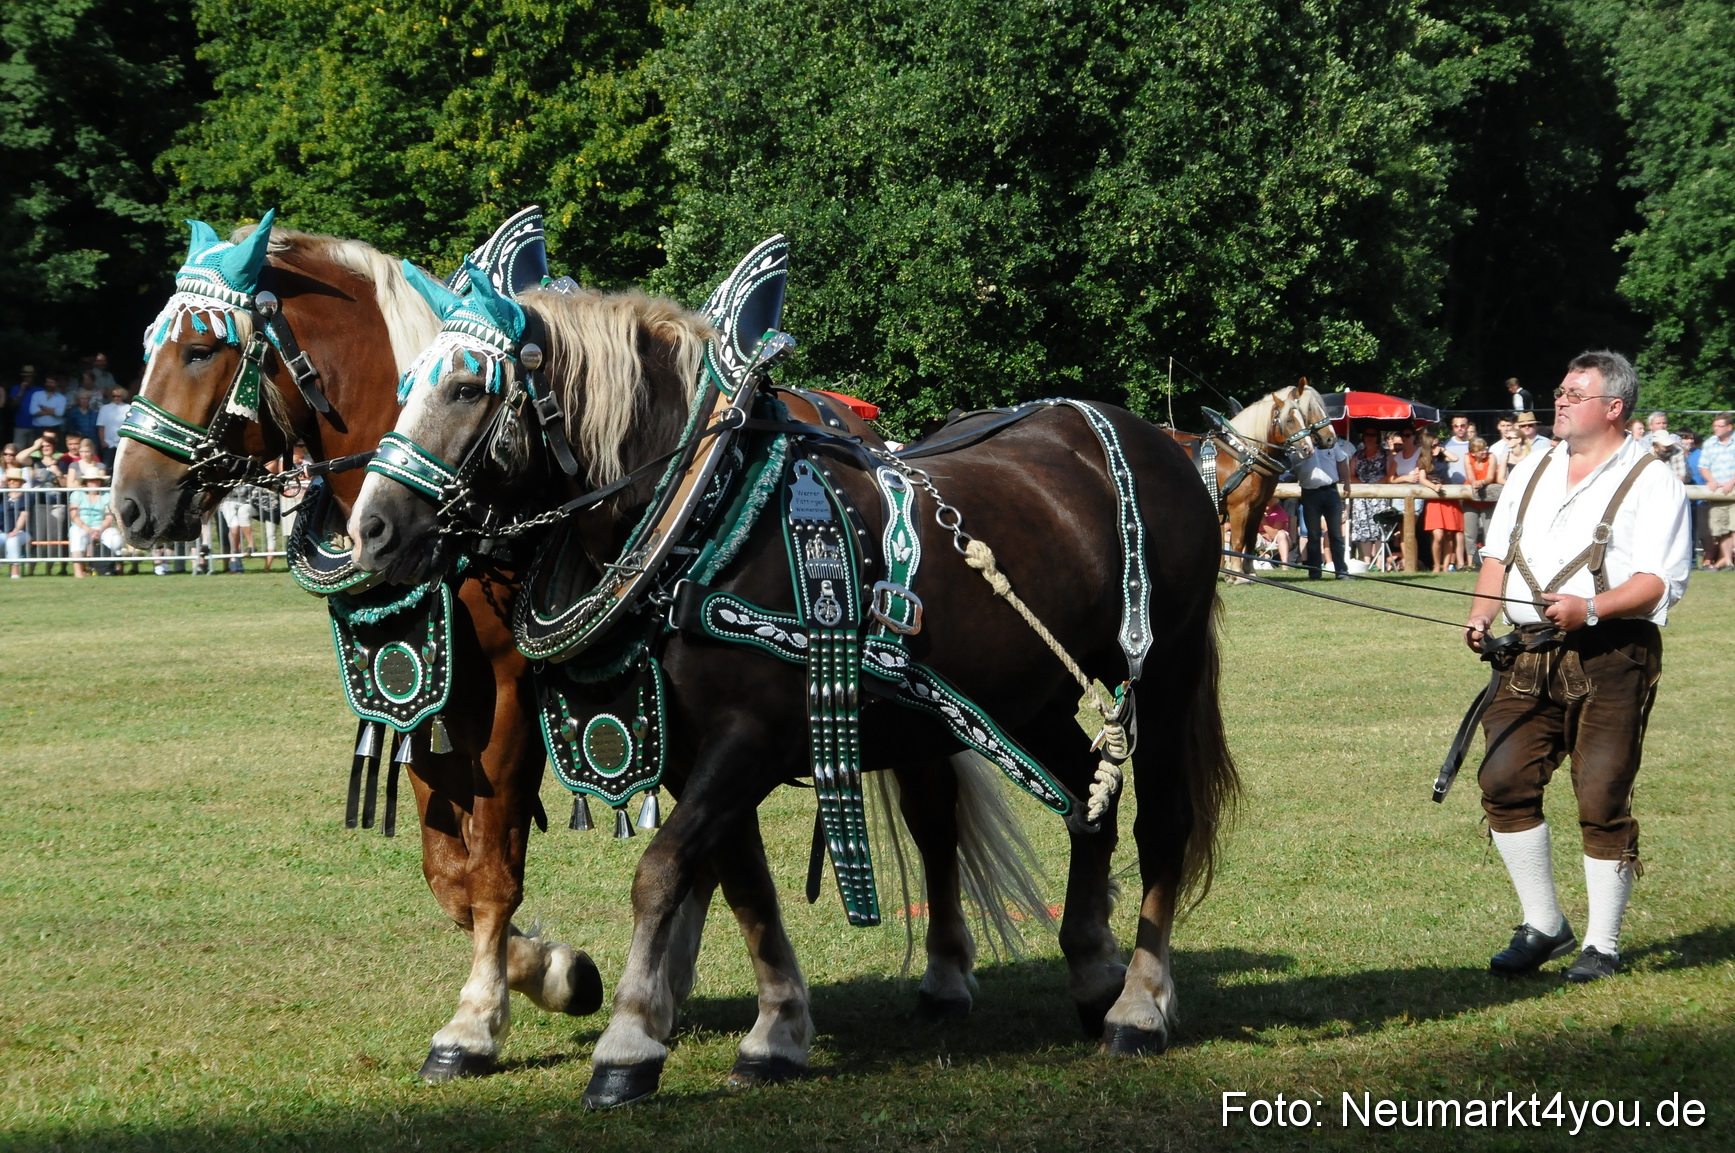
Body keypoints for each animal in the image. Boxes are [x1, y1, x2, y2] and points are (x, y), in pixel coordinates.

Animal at [111, 221, 608, 1081]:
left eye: (201, 350)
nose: (128, 503)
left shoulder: (506, 693)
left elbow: (492, 869)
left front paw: (475, 1022)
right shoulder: (425, 695)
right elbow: (450, 874)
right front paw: (555, 970)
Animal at [348, 277, 1240, 1107]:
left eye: (467, 388)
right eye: (406, 385)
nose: (370, 528)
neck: (705, 524)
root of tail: (1151, 439)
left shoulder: (751, 735)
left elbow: (661, 870)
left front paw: (627, 1041)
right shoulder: (695, 753)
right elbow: (743, 882)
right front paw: (776, 1029)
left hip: (1164, 670)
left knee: (1159, 822)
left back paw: (1137, 1005)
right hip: (1037, 691)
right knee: (1089, 798)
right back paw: (1090, 969)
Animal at [1164, 380, 1335, 576]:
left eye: (1302, 414)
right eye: (1289, 420)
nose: (1330, 439)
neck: (1244, 454)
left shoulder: (1257, 507)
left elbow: (1250, 539)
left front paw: (1248, 571)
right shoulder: (1239, 507)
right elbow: (1237, 541)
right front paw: (1237, 575)